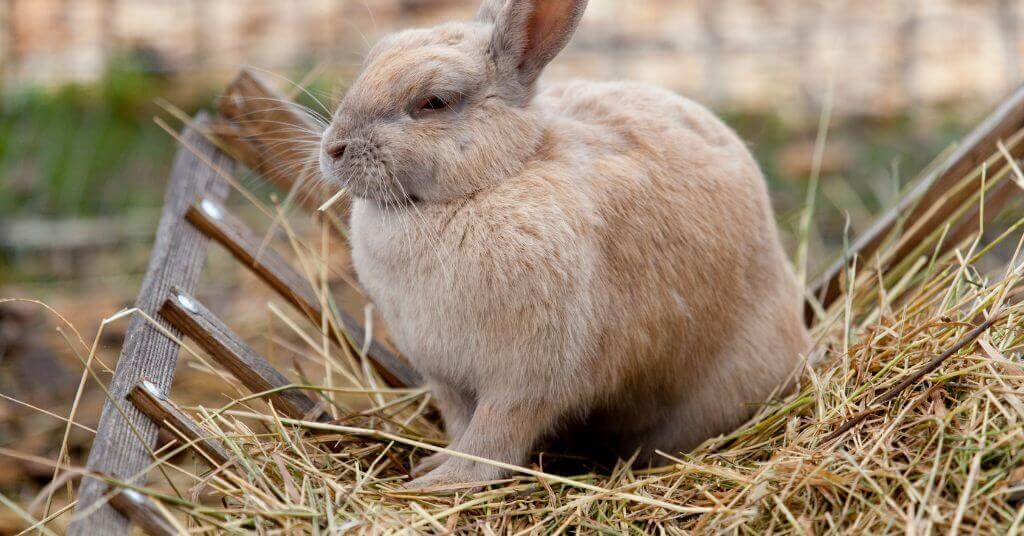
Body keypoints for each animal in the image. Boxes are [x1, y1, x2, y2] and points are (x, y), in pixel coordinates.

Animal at [318, 0, 811, 489]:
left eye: (433, 102)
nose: (333, 148)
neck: (494, 178)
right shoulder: (447, 380)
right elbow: (460, 425)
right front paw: (432, 466)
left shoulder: (525, 381)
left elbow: (492, 438)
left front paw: (444, 481)